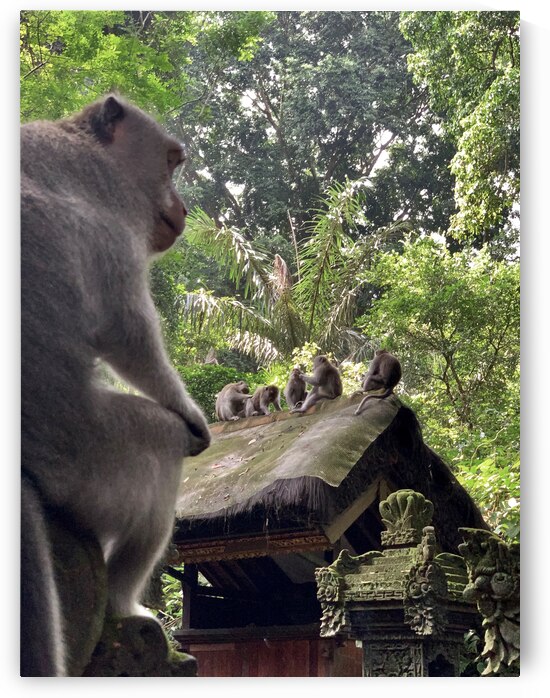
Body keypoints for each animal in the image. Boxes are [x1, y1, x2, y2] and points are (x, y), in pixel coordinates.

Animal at [21, 94, 211, 675]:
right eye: (171, 163)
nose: (184, 208)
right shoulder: (113, 209)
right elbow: (125, 328)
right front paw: (191, 414)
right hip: (89, 457)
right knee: (162, 451)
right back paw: (125, 605)